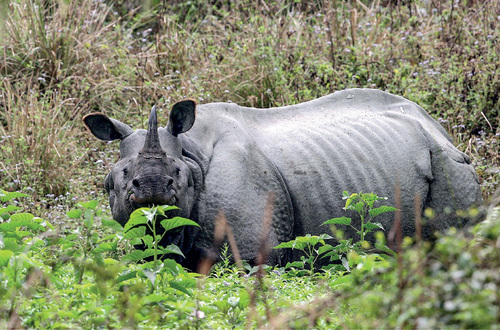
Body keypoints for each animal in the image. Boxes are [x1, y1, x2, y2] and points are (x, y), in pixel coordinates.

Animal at [84, 88, 482, 270]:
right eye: (119, 177)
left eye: (177, 178)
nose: (152, 189)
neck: (191, 151)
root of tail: (438, 127)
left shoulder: (249, 251)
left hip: (450, 162)